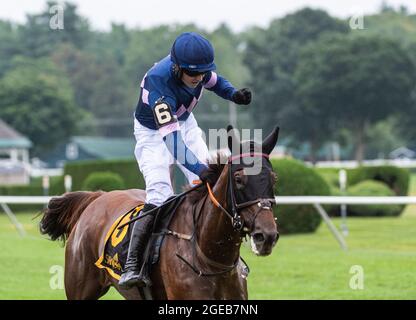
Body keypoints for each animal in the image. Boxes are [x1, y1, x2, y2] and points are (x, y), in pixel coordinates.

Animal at [40, 125, 280, 300]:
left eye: (274, 178)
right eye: (239, 179)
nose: (266, 236)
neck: (209, 255)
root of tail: (97, 197)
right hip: (80, 290)